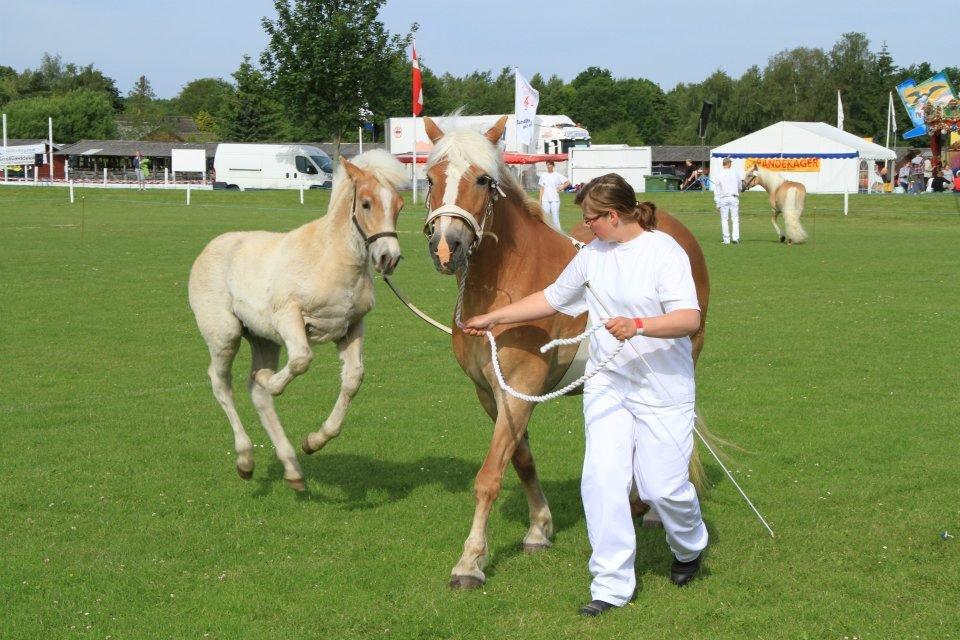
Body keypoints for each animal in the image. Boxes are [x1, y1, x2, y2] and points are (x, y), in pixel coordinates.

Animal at [189, 150, 406, 490]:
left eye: (399, 205)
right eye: (366, 203)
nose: (389, 258)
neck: (332, 260)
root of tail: (208, 249)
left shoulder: (351, 328)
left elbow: (353, 379)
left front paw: (315, 441)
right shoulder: (289, 316)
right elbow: (302, 360)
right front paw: (270, 381)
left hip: (262, 339)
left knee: (257, 397)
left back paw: (292, 469)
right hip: (225, 336)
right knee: (221, 383)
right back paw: (245, 459)